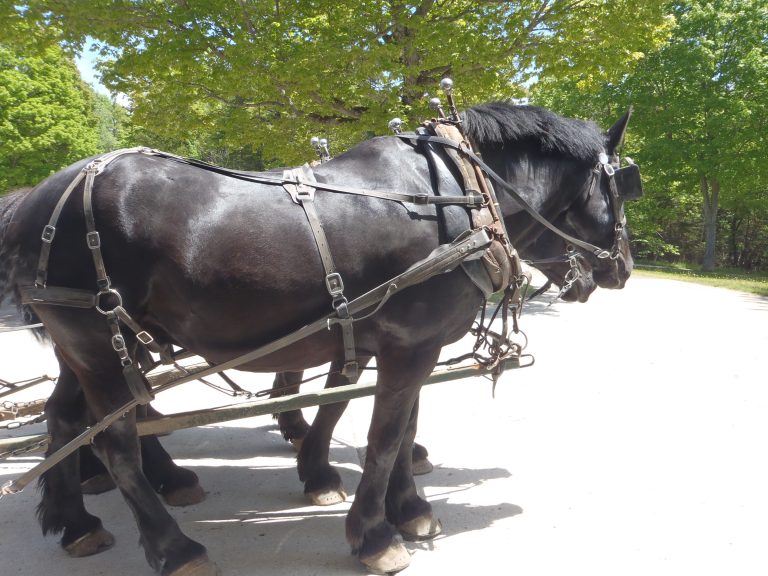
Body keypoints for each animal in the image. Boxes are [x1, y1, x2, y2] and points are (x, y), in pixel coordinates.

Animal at [0, 101, 636, 572]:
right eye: (622, 189)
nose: (624, 268)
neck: (459, 196)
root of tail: (37, 196)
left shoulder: (404, 343)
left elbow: (396, 425)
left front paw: (406, 506)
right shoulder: (410, 343)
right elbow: (383, 436)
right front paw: (375, 534)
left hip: (99, 345)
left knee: (65, 418)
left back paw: (76, 521)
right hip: (100, 341)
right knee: (115, 439)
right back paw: (174, 546)